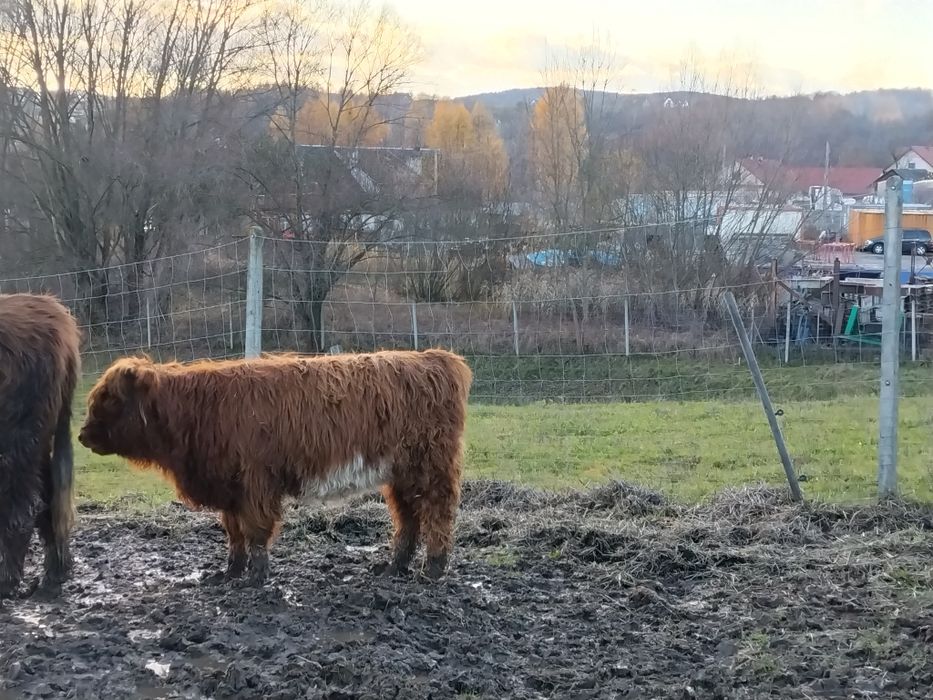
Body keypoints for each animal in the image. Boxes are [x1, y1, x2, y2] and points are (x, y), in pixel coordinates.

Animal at [0, 293, 80, 598]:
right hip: (41, 439)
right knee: (49, 497)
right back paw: (57, 570)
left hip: (17, 437)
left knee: (19, 507)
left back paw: (7, 581)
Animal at [78, 348, 472, 585]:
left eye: (110, 398)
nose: (81, 435)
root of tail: (435, 359)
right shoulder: (230, 487)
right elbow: (234, 534)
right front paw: (230, 573)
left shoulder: (256, 483)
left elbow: (255, 533)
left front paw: (255, 578)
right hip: (401, 475)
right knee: (408, 518)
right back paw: (394, 568)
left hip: (431, 468)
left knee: (438, 514)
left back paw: (432, 569)